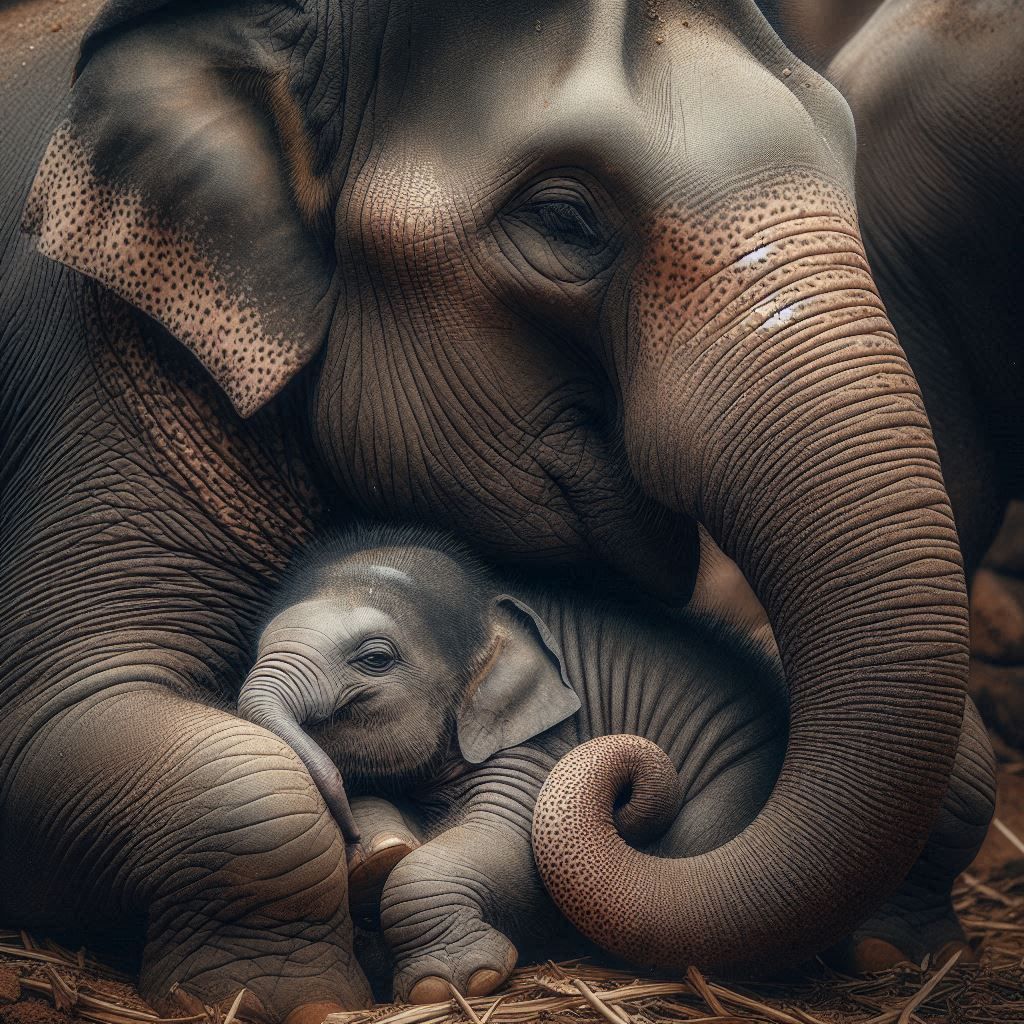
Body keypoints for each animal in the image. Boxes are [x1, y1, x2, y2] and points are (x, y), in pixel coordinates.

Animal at [237, 525, 996, 1001]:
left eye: (375, 658)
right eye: (253, 646)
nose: (351, 836)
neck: (493, 599)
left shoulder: (540, 744)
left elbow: (503, 848)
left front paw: (453, 984)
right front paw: (377, 854)